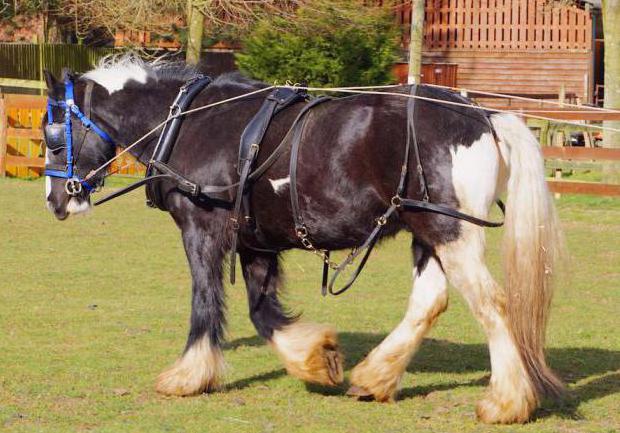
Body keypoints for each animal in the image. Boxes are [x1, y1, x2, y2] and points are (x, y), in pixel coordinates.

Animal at [43, 56, 564, 422]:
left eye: (50, 135)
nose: (54, 200)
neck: (189, 122)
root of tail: (483, 115)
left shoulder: (202, 230)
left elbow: (205, 300)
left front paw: (188, 375)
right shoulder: (255, 242)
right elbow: (262, 312)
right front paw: (316, 358)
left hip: (448, 230)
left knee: (492, 304)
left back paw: (506, 402)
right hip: (428, 230)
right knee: (430, 301)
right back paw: (374, 377)